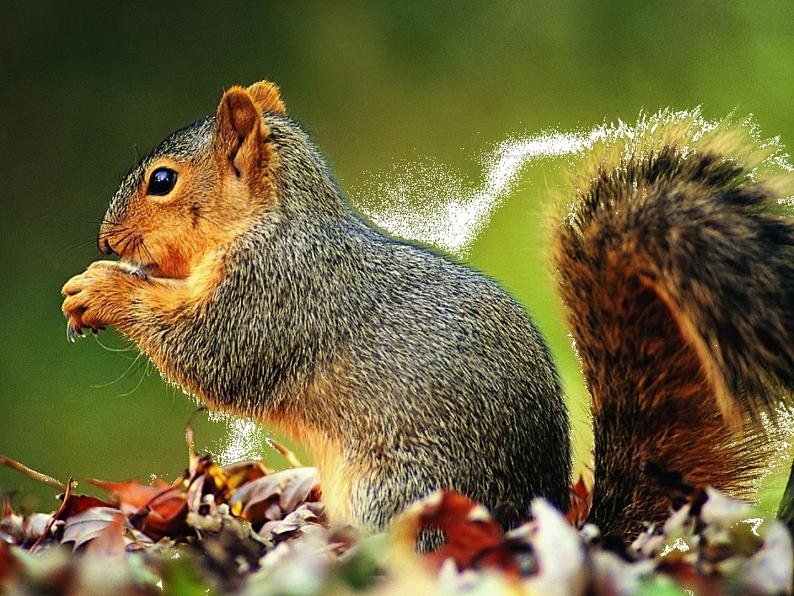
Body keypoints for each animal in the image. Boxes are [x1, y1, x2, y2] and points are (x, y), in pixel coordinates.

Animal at [60, 81, 792, 544]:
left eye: (162, 180)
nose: (105, 239)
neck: (274, 220)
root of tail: (532, 519)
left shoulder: (275, 292)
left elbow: (210, 351)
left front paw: (101, 290)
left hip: (401, 493)